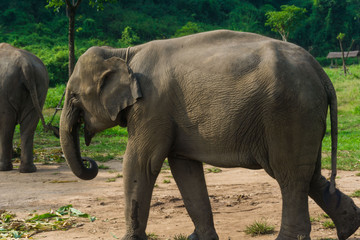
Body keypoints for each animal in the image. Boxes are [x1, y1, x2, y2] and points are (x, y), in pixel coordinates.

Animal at [0, 43, 49, 172]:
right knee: (29, 125)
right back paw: (28, 169)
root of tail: (25, 64)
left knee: (6, 125)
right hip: (41, 87)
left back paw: (4, 168)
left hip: (5, 90)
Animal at [59, 30, 360, 240]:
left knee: (289, 175)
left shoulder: (152, 108)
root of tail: (321, 72)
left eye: (73, 97)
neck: (124, 54)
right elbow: (184, 168)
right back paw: (350, 226)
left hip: (289, 112)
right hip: (304, 116)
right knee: (307, 173)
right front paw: (198, 238)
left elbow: (141, 163)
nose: (89, 162)